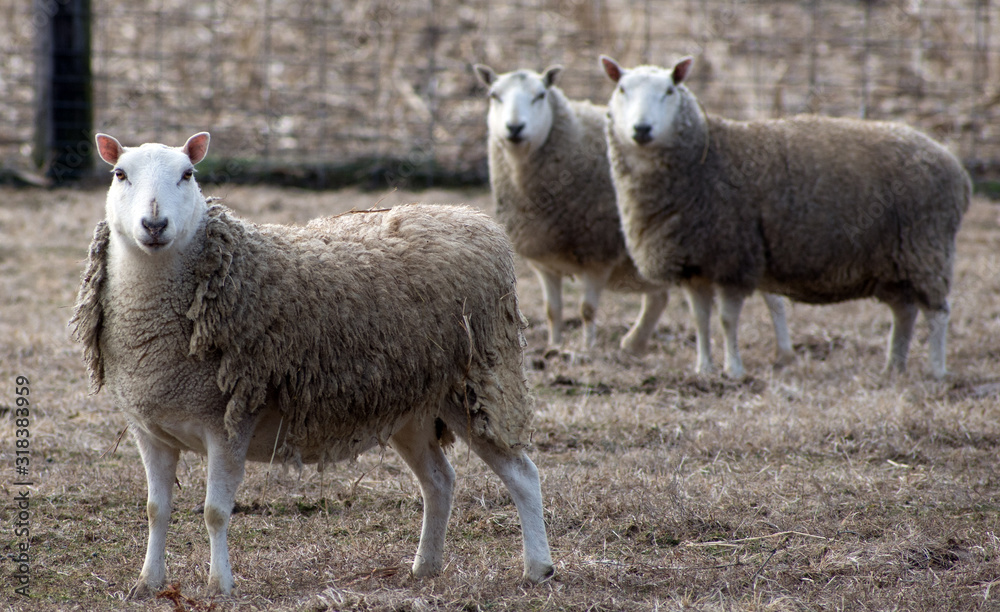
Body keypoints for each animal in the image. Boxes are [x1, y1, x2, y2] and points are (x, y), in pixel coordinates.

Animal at [69, 132, 554, 598]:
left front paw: (219, 585)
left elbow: (214, 512)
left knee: (523, 475)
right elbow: (156, 510)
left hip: (479, 381)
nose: (154, 224)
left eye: (188, 174)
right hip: (412, 407)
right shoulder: (150, 428)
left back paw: (539, 568)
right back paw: (425, 567)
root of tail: (474, 219)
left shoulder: (229, 422)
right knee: (439, 481)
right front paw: (148, 582)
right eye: (119, 174)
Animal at [474, 63, 793, 363]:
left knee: (773, 299)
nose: (514, 128)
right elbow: (553, 311)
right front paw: (554, 347)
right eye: (494, 96)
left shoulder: (597, 253)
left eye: (540, 95)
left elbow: (587, 309)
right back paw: (634, 344)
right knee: (658, 297)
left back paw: (783, 352)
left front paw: (586, 349)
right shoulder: (544, 262)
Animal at [600, 55, 971, 379]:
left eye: (669, 90)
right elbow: (700, 320)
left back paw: (936, 371)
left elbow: (726, 320)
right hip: (896, 262)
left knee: (938, 313)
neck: (707, 156)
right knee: (904, 313)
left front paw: (733, 370)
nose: (642, 128)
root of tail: (954, 165)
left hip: (926, 248)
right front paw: (703, 368)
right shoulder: (695, 263)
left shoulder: (736, 257)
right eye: (622, 89)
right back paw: (893, 367)